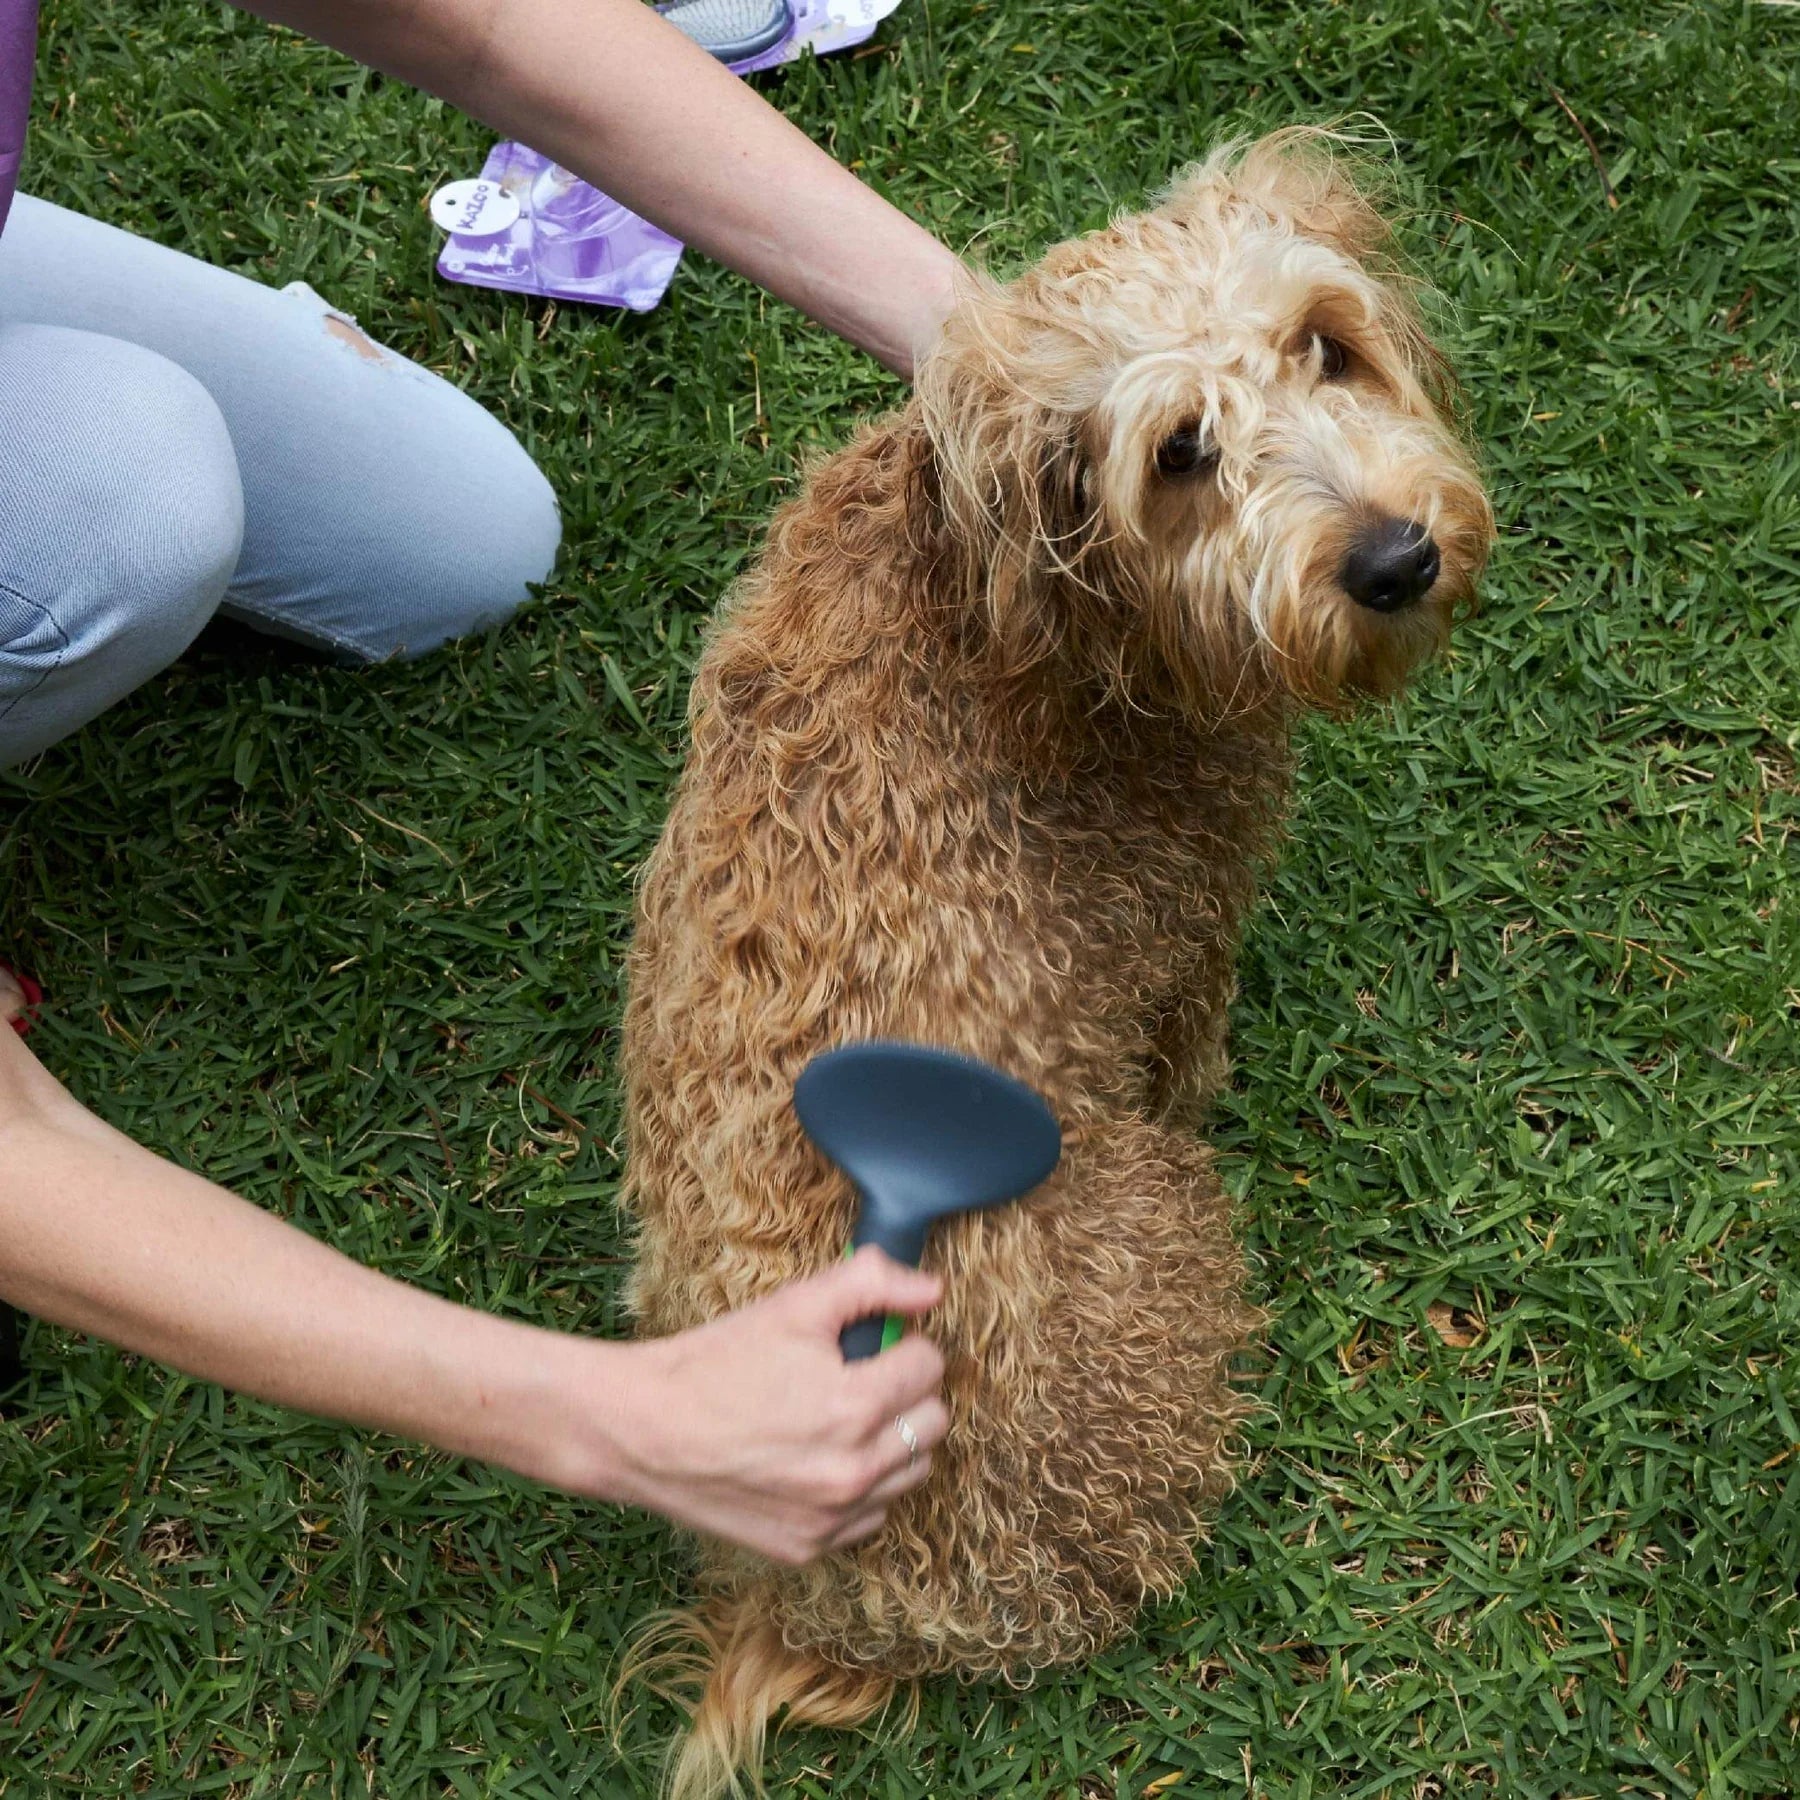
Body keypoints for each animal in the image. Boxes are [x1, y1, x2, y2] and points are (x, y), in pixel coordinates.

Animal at [626, 133, 1497, 1792]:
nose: (1396, 558)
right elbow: (1193, 1032)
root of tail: (832, 1607)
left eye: (1324, 345)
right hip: (1166, 1242)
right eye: (1180, 454)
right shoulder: (1191, 911)